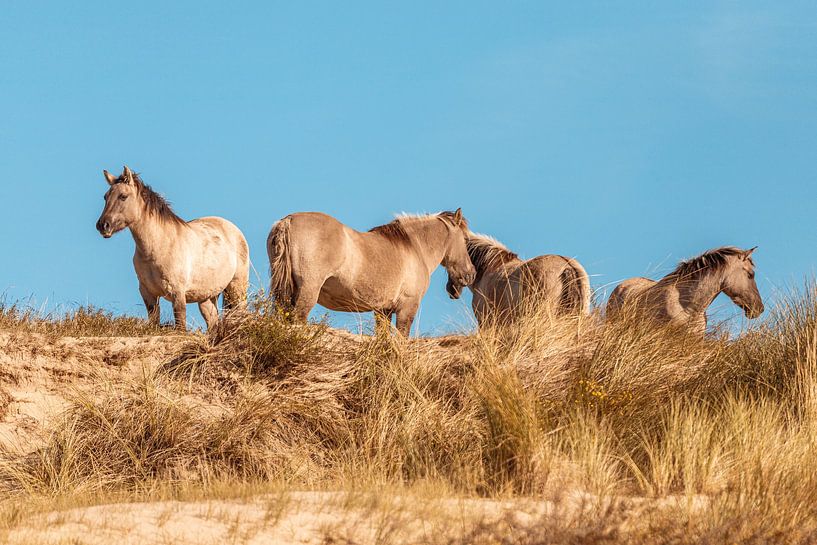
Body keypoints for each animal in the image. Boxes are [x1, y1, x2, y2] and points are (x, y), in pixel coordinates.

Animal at [95, 166, 249, 331]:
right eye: (105, 197)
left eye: (123, 196)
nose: (103, 225)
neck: (157, 248)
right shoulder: (148, 294)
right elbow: (154, 322)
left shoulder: (178, 294)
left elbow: (180, 326)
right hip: (207, 298)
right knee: (213, 324)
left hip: (237, 290)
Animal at [266, 209, 476, 335]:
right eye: (466, 240)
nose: (471, 274)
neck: (415, 248)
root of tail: (288, 221)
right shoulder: (407, 308)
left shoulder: (383, 311)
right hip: (308, 292)